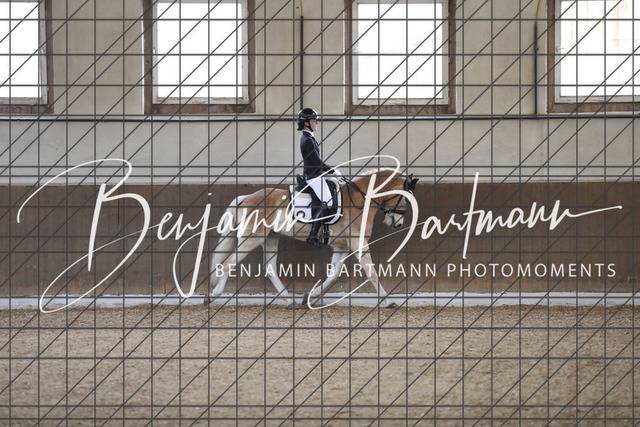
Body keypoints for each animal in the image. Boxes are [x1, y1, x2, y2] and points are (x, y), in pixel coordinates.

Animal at [205, 169, 418, 308]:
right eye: (405, 198)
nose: (398, 224)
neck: (359, 200)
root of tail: (246, 197)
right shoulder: (359, 243)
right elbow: (372, 272)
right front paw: (389, 301)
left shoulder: (342, 246)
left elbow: (334, 275)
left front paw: (309, 296)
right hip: (252, 238)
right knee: (228, 263)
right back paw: (213, 296)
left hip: (270, 238)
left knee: (270, 268)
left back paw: (290, 300)